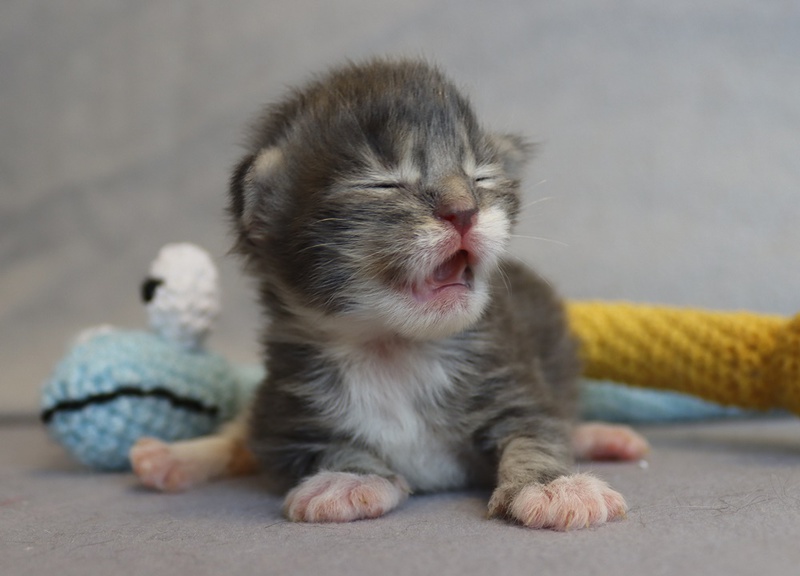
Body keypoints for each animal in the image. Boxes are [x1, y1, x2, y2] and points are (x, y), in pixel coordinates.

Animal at [131, 58, 648, 530]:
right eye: (383, 183)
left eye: (480, 176)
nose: (463, 211)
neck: (394, 348)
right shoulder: (287, 412)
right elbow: (315, 446)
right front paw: (350, 478)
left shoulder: (512, 379)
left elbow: (537, 431)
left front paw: (553, 486)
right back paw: (174, 458)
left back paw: (600, 437)